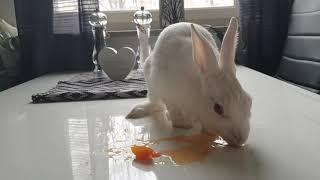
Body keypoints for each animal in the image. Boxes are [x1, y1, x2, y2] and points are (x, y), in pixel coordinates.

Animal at [126, 17, 251, 146]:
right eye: (218, 108)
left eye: (248, 101)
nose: (241, 139)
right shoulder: (168, 94)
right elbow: (174, 113)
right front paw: (184, 124)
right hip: (151, 84)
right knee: (156, 104)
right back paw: (138, 111)